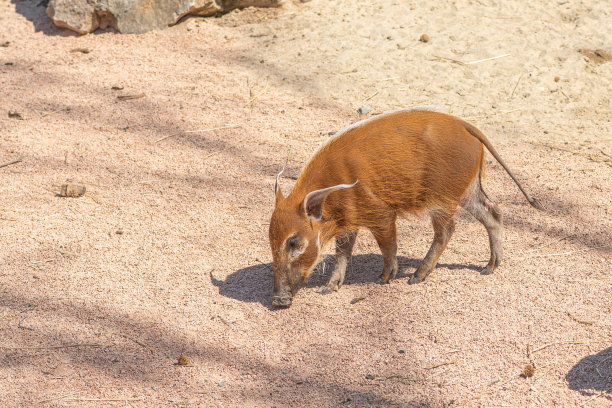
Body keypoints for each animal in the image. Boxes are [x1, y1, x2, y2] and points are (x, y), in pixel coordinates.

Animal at [268, 108, 540, 306]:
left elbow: (387, 245)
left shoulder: (382, 213)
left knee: (447, 230)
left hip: (442, 198)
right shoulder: (350, 222)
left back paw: (417, 276)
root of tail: (467, 126)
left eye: (294, 242)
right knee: (493, 215)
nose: (279, 300)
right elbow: (342, 253)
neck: (333, 187)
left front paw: (384, 278)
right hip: (467, 190)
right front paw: (328, 288)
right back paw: (488, 268)